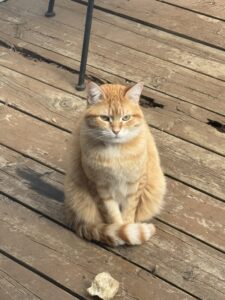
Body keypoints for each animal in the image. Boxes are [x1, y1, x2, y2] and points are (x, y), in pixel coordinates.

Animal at [64, 81, 166, 246]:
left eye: (126, 118)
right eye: (105, 118)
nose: (116, 131)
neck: (116, 153)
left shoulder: (136, 183)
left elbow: (129, 210)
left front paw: (128, 226)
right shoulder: (99, 187)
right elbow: (112, 215)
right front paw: (120, 229)